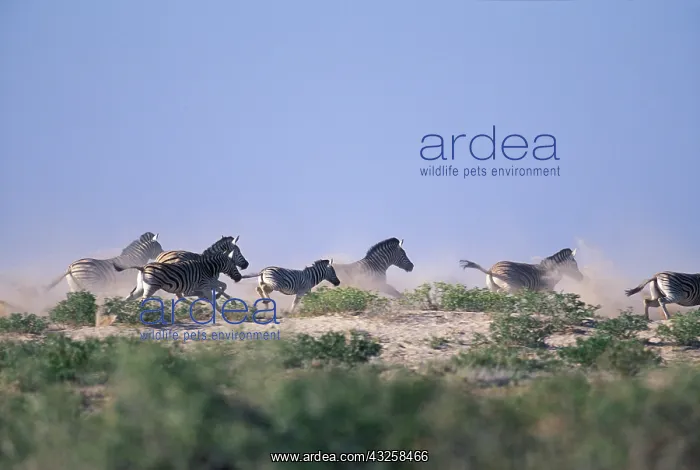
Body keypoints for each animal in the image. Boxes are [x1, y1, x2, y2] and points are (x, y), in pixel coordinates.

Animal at [114, 250, 243, 304]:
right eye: (234, 266)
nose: (239, 278)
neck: (207, 267)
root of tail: (143, 267)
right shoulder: (204, 283)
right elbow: (220, 288)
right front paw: (217, 297)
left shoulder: (208, 282)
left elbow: (222, 286)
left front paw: (221, 297)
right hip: (151, 287)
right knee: (142, 300)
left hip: (141, 287)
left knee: (130, 297)